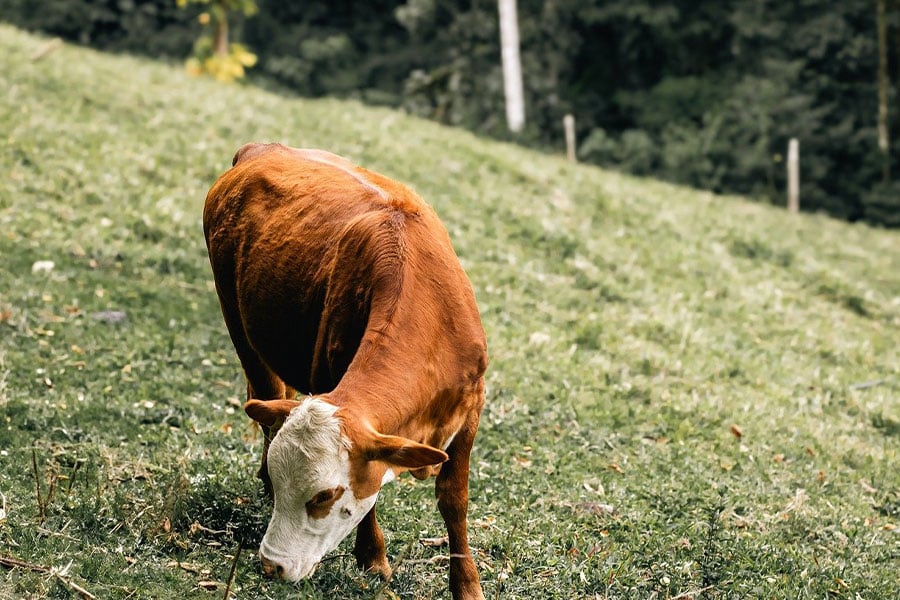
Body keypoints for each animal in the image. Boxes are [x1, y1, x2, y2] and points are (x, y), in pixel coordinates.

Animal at [203, 142, 488, 600]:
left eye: (323, 496)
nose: (271, 565)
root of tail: (262, 149)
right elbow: (372, 500)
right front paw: (373, 557)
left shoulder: (472, 405)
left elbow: (453, 498)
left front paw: (466, 584)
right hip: (237, 320)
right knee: (267, 399)